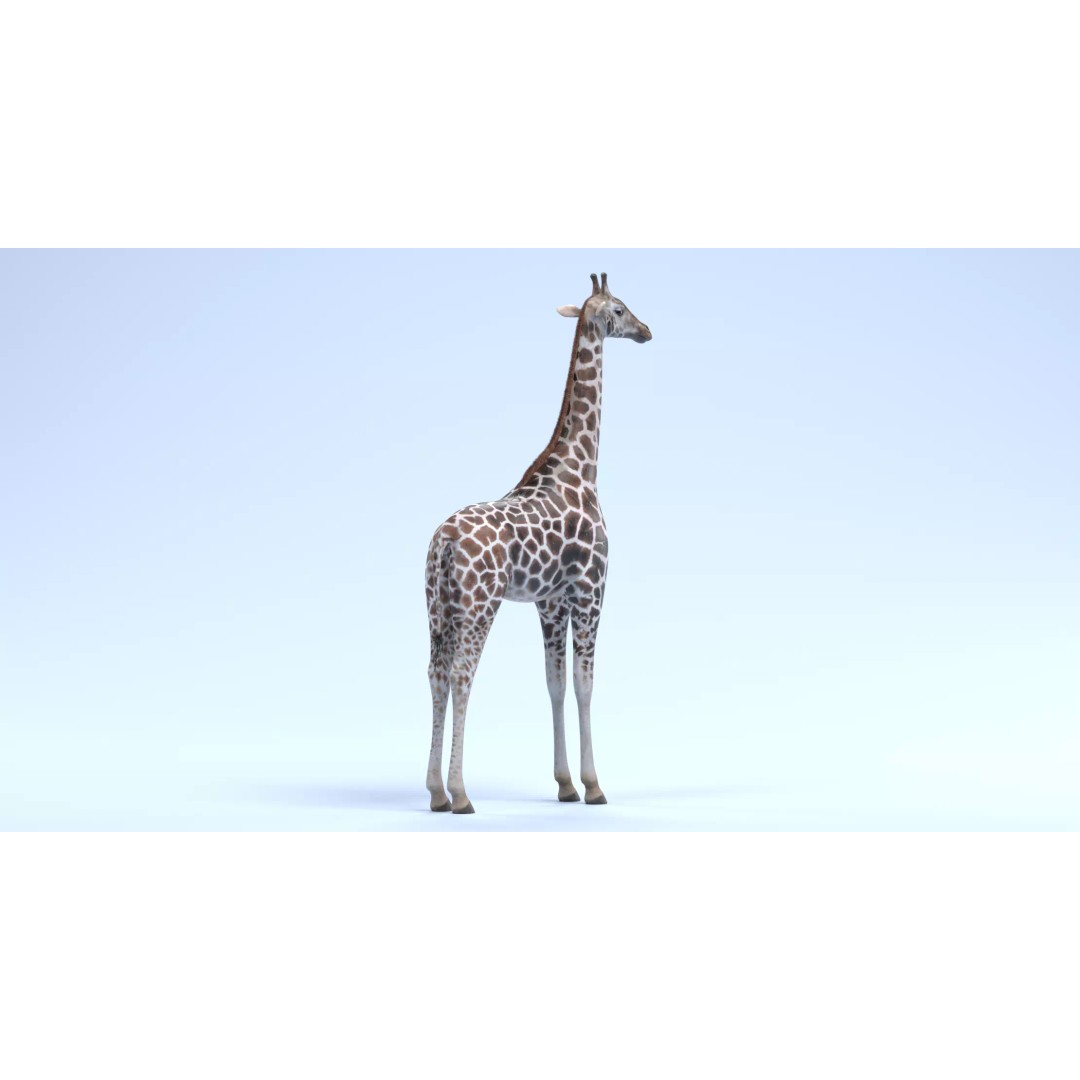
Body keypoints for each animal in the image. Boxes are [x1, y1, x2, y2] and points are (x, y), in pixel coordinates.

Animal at [424, 273, 652, 814]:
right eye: (621, 308)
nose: (648, 331)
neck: (580, 470)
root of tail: (443, 542)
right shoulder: (591, 591)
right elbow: (585, 683)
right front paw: (594, 785)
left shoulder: (551, 601)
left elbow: (554, 684)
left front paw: (566, 784)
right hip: (478, 606)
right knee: (462, 676)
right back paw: (460, 794)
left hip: (437, 610)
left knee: (436, 676)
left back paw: (436, 792)